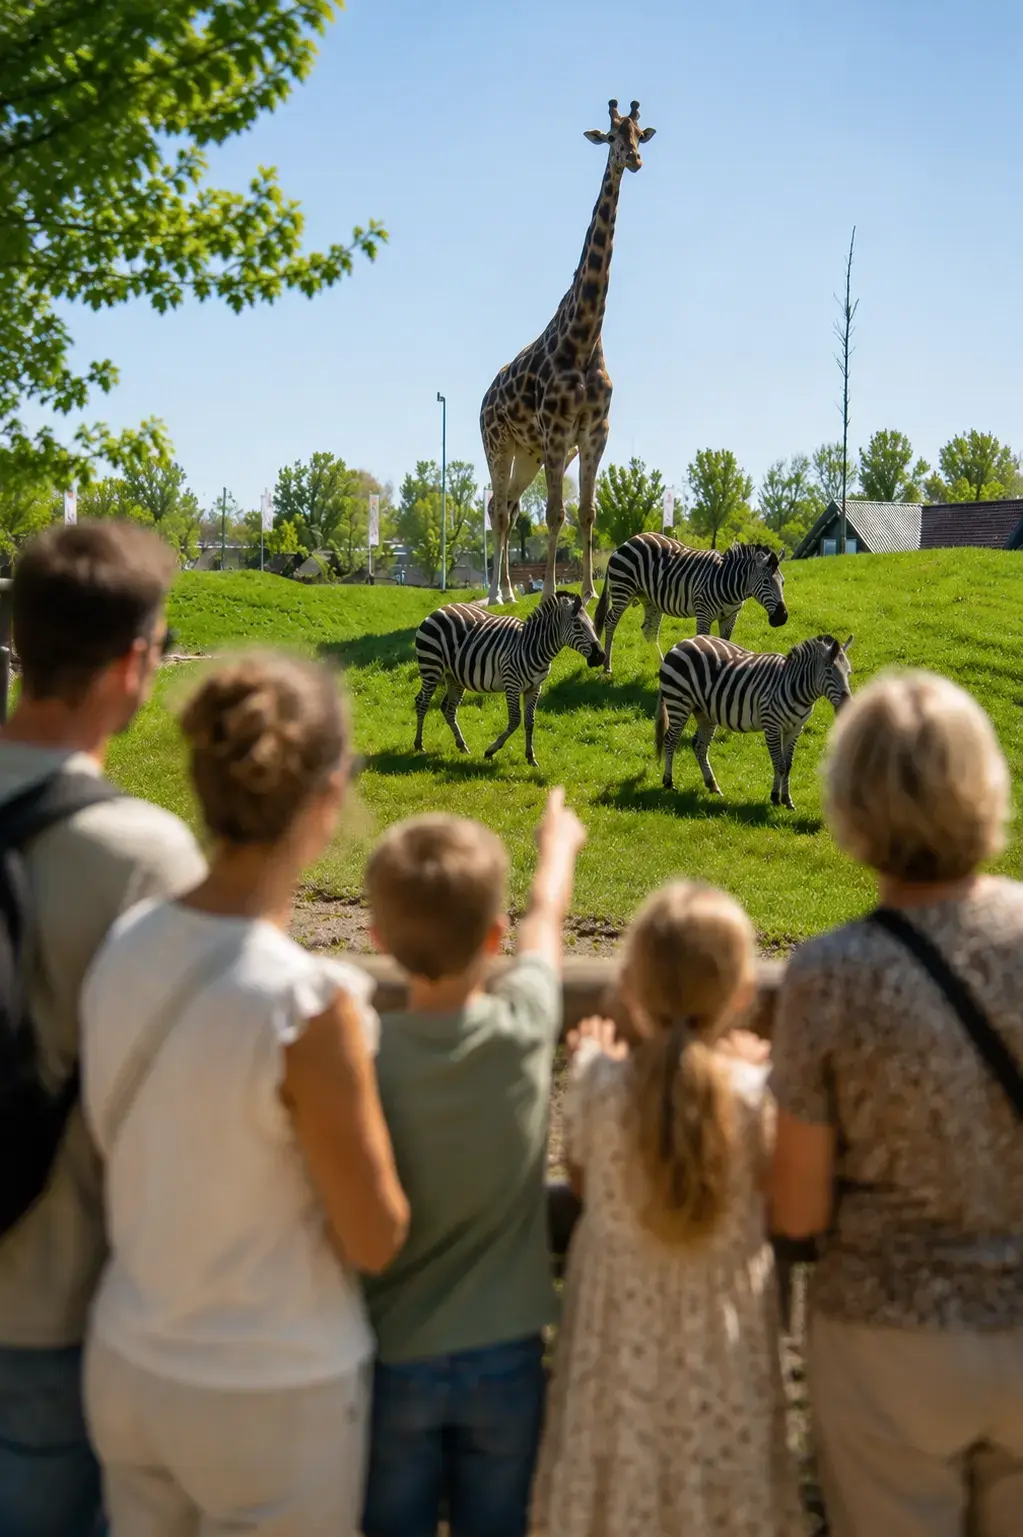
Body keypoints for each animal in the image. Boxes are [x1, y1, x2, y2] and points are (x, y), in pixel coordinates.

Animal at [413, 590, 604, 766]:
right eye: (578, 625)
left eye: (592, 624)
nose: (601, 656)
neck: (534, 647)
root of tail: (439, 610)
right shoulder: (512, 685)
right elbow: (515, 720)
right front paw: (491, 750)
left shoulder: (535, 688)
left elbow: (530, 721)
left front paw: (530, 757)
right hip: (431, 667)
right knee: (422, 702)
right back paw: (419, 744)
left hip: (454, 676)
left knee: (449, 708)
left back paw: (462, 745)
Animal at [593, 533, 789, 674]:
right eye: (766, 582)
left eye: (783, 583)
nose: (782, 617)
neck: (730, 584)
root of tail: (627, 541)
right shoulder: (704, 613)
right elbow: (704, 641)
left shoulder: (730, 616)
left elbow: (725, 642)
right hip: (623, 589)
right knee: (610, 621)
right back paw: (607, 666)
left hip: (650, 599)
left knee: (649, 630)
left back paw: (662, 666)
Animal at [654, 632, 853, 809]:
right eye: (829, 670)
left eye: (848, 672)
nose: (846, 705)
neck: (796, 689)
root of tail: (681, 643)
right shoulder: (772, 726)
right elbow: (779, 764)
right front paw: (776, 798)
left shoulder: (795, 729)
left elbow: (788, 765)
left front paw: (786, 799)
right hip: (679, 701)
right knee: (671, 739)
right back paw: (669, 782)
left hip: (704, 711)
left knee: (699, 745)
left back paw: (712, 785)